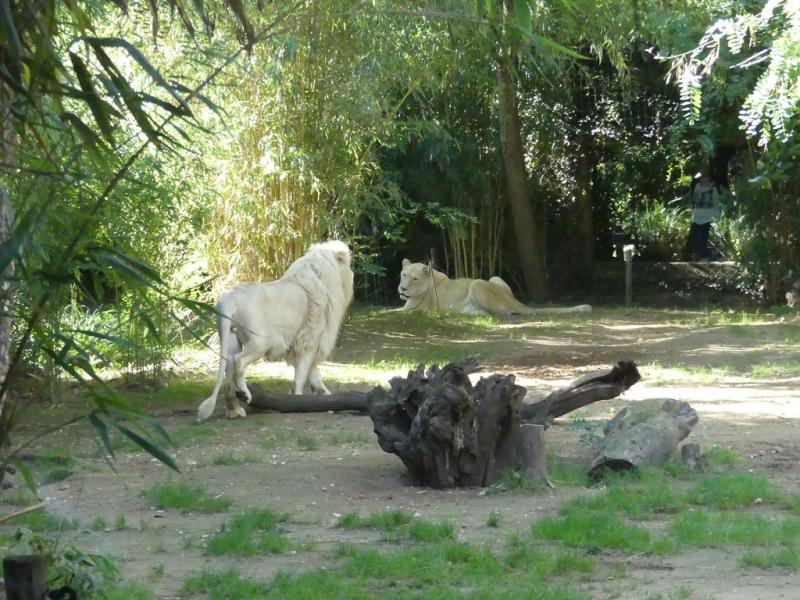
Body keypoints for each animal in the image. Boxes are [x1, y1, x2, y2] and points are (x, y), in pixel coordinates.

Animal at [197, 240, 354, 421]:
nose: (353, 274)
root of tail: (228, 298)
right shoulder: (309, 341)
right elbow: (301, 375)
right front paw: (297, 401)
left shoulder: (306, 344)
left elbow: (314, 374)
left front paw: (326, 398)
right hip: (260, 341)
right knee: (239, 362)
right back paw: (244, 394)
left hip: (230, 338)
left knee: (228, 371)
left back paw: (234, 410)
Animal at [396, 259, 591, 316]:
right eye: (403, 275)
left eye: (414, 279)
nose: (402, 289)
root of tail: (515, 301)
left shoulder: (412, 309)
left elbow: (391, 311)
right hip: (495, 277)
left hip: (476, 283)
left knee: (500, 313)